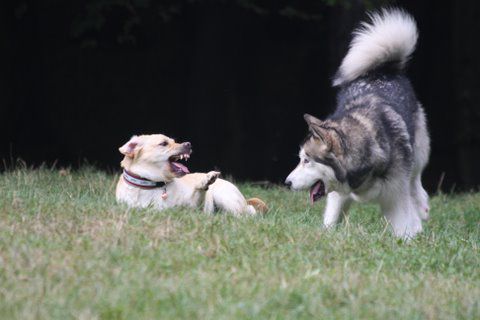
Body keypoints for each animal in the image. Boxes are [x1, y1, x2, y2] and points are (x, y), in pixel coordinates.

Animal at [115, 134, 268, 216]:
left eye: (174, 141)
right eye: (164, 143)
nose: (188, 144)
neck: (152, 184)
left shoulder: (193, 208)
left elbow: (200, 194)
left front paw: (206, 180)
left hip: (226, 198)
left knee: (246, 213)